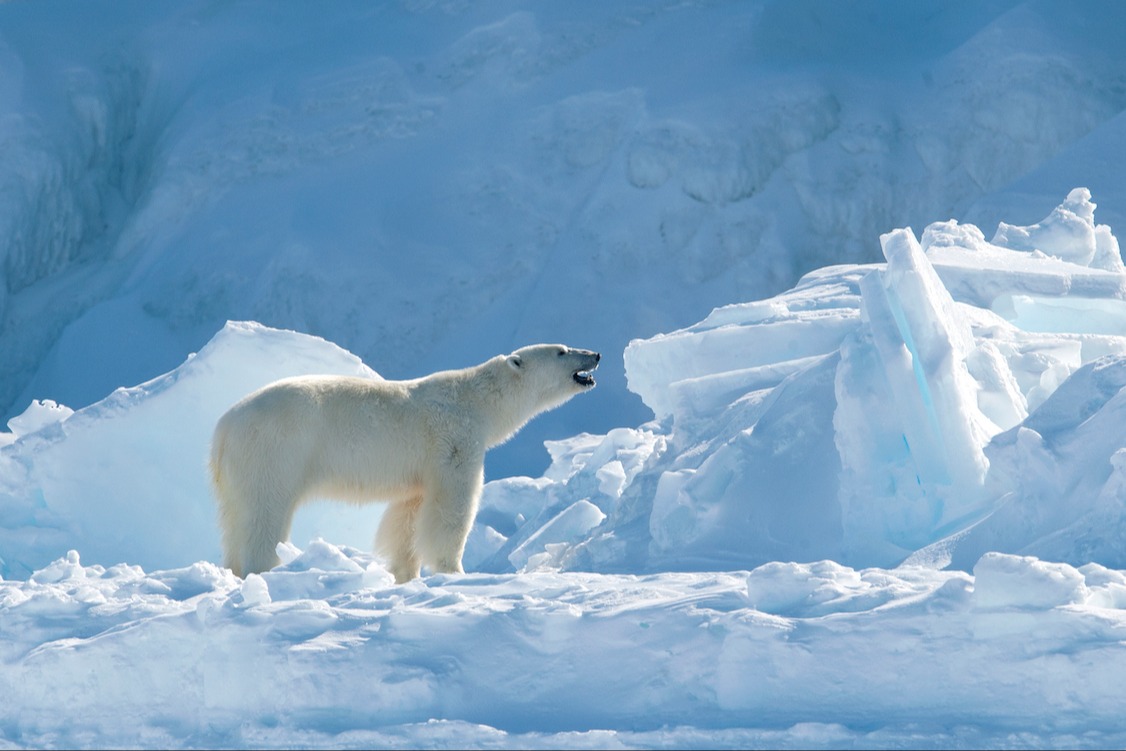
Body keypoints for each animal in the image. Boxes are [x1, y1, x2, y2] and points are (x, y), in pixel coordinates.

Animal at [209, 344, 600, 582]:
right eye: (562, 350)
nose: (595, 354)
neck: (476, 400)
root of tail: (224, 427)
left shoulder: (419, 469)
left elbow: (407, 517)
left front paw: (405, 575)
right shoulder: (453, 441)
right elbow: (451, 508)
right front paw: (453, 572)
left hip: (237, 471)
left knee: (235, 519)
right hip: (276, 450)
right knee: (264, 511)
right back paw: (263, 569)